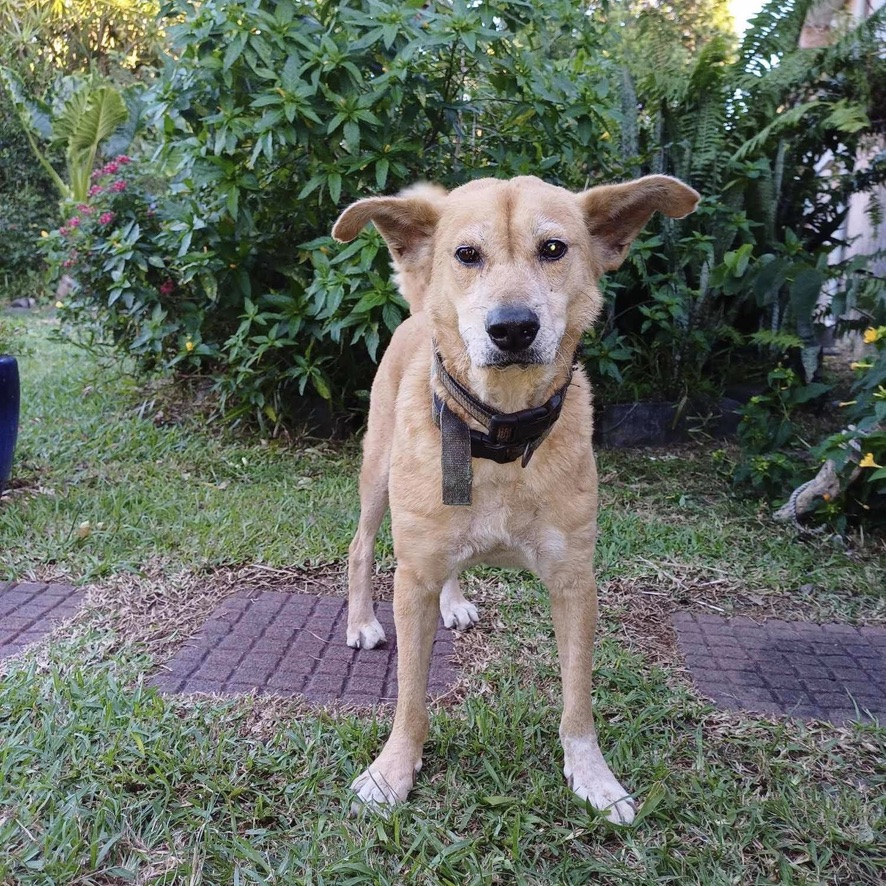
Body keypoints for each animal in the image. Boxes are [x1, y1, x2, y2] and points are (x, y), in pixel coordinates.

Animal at [332, 173, 700, 824]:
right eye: (466, 254)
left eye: (553, 249)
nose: (511, 328)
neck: (498, 435)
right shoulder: (413, 577)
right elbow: (410, 698)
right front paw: (393, 769)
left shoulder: (574, 580)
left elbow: (578, 699)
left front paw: (592, 775)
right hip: (377, 475)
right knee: (359, 546)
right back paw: (362, 622)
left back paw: (454, 601)